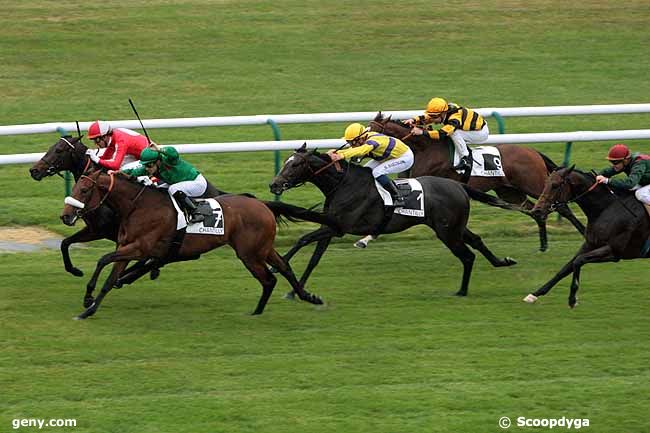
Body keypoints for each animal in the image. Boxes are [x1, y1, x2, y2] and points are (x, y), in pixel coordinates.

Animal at [29, 135, 223, 276]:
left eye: (59, 150)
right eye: (52, 147)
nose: (34, 170)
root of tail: (215, 190)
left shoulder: (104, 231)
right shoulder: (95, 230)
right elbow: (65, 243)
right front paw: (75, 270)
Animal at [60, 170, 330, 318]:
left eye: (84, 190)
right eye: (76, 186)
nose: (65, 215)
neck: (139, 206)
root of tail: (262, 204)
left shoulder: (139, 248)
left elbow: (102, 260)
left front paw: (87, 297)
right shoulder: (127, 249)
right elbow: (109, 278)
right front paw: (88, 309)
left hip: (250, 253)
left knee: (269, 278)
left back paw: (258, 312)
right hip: (263, 248)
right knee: (283, 267)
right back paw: (306, 297)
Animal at [266, 144, 512, 296]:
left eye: (295, 164)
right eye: (286, 161)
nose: (274, 184)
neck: (343, 184)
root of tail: (458, 185)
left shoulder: (340, 227)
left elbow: (303, 239)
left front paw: (278, 264)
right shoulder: (331, 227)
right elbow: (313, 258)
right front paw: (294, 291)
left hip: (447, 231)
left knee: (467, 255)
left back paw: (462, 290)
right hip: (455, 227)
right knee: (476, 241)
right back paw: (501, 262)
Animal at [368, 113, 584, 251]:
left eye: (372, 131)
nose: (361, 142)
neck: (425, 149)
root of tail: (533, 151)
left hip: (535, 185)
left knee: (559, 206)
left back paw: (582, 231)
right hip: (510, 192)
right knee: (534, 210)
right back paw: (543, 245)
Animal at [524, 166, 644, 308]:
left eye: (555, 185)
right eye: (545, 184)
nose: (536, 211)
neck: (606, 208)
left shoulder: (614, 251)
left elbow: (578, 261)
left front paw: (572, 298)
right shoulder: (590, 244)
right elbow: (566, 268)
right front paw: (534, 294)